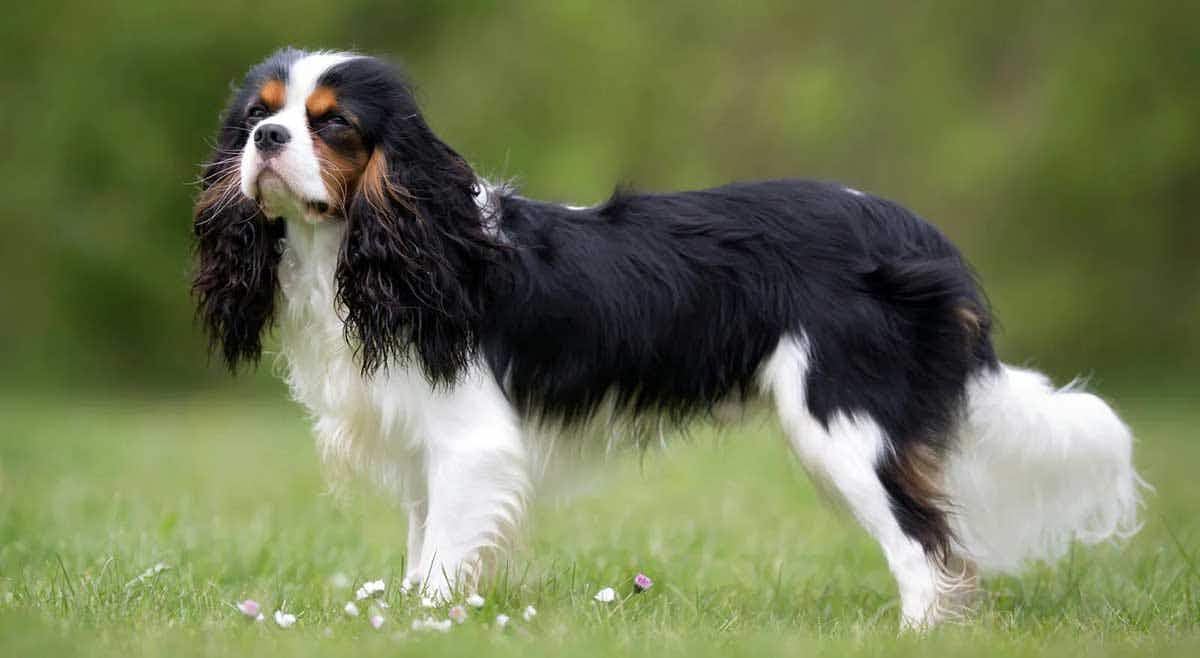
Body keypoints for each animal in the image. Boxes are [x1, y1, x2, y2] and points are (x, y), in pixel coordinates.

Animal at [194, 50, 1142, 629]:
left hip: (844, 424)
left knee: (924, 545)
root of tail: (917, 235)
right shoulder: (425, 447)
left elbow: (442, 560)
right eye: (258, 116)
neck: (387, 244)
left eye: (332, 124)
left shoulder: (470, 442)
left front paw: (424, 621)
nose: (265, 141)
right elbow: (428, 548)